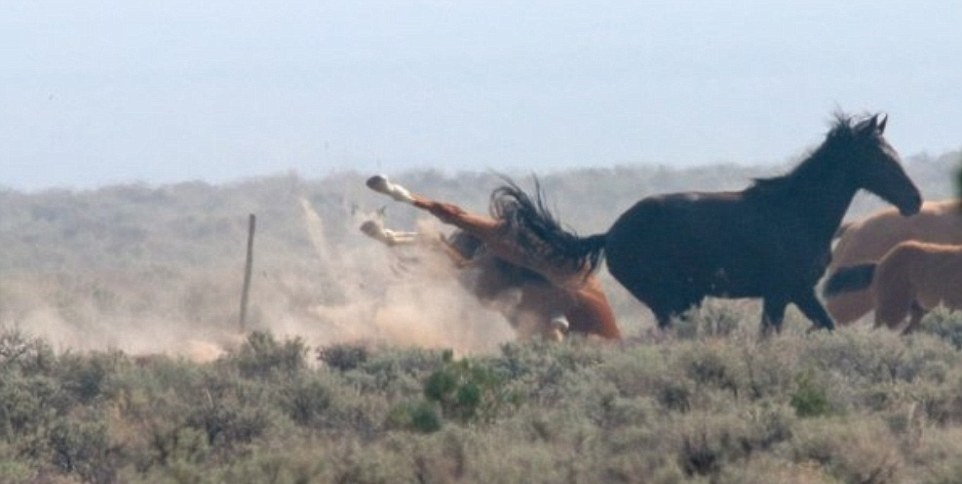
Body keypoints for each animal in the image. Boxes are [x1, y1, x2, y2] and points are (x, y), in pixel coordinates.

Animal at [360, 174, 624, 340]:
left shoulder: (477, 276)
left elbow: (440, 248)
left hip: (491, 253)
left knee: (440, 236)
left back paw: (377, 228)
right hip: (507, 244)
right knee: (450, 212)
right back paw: (381, 186)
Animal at [492, 113, 920, 332]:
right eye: (879, 155)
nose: (914, 201)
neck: (798, 213)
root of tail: (611, 233)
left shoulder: (796, 293)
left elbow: (826, 326)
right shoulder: (784, 291)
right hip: (667, 301)